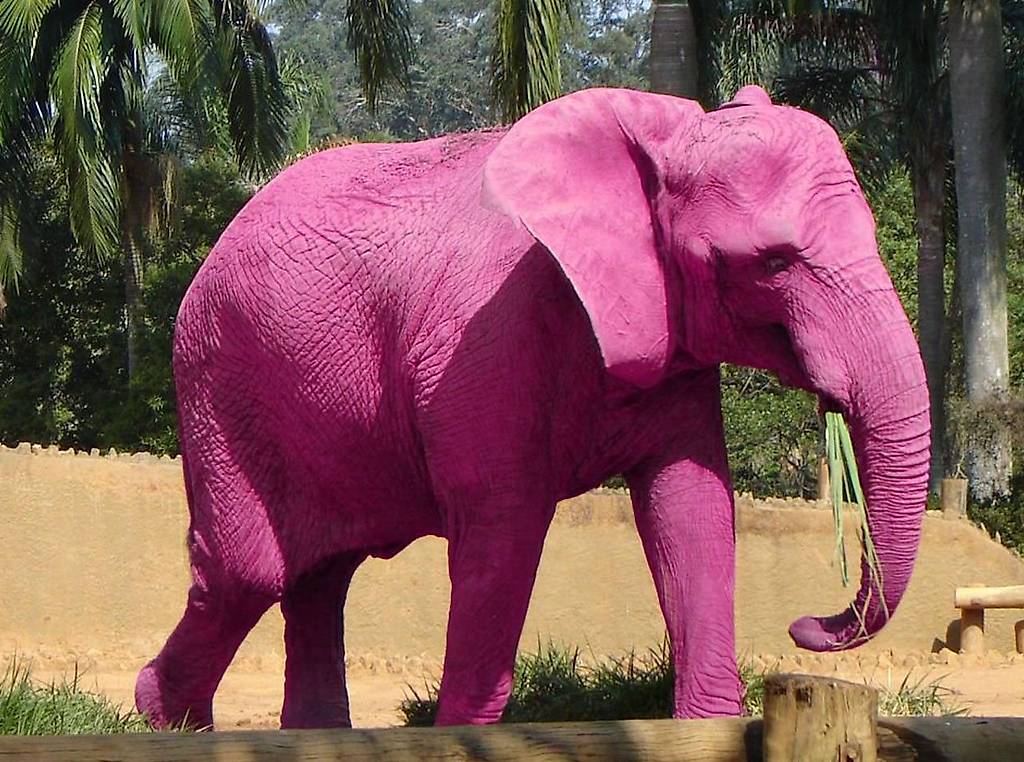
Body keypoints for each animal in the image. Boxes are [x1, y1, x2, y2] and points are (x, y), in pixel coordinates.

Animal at [135, 84, 930, 730]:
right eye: (771, 263)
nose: (808, 625)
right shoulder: (488, 343)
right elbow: (503, 529)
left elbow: (692, 509)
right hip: (219, 383)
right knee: (247, 573)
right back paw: (164, 718)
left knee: (318, 576)